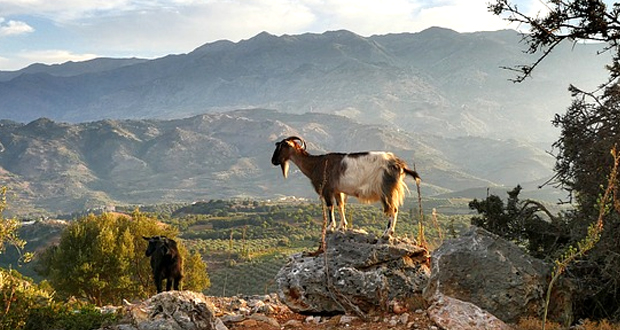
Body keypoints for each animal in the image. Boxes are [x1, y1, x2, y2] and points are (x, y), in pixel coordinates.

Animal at [272, 135, 422, 238]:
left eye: (282, 147)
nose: (273, 161)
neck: (316, 164)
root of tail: (399, 164)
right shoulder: (338, 190)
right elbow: (340, 206)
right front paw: (341, 227)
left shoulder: (327, 189)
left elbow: (330, 207)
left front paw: (330, 227)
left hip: (386, 188)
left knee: (393, 209)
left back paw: (387, 233)